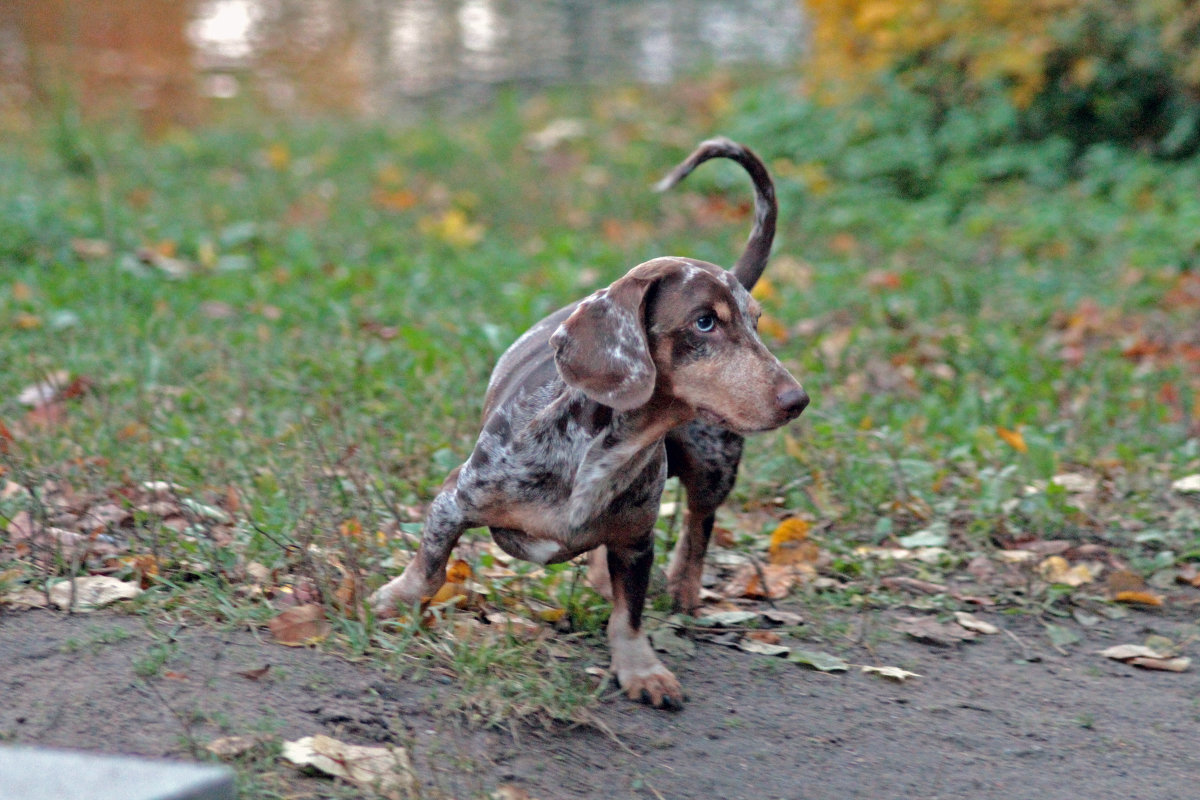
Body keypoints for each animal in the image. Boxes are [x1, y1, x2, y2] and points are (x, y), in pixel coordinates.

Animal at [369, 137, 811, 705]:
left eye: (756, 323)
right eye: (704, 322)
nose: (797, 399)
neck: (607, 449)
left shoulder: (637, 541)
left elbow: (629, 614)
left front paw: (641, 669)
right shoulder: (455, 497)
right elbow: (429, 566)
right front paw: (393, 599)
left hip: (715, 461)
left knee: (699, 522)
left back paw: (683, 588)